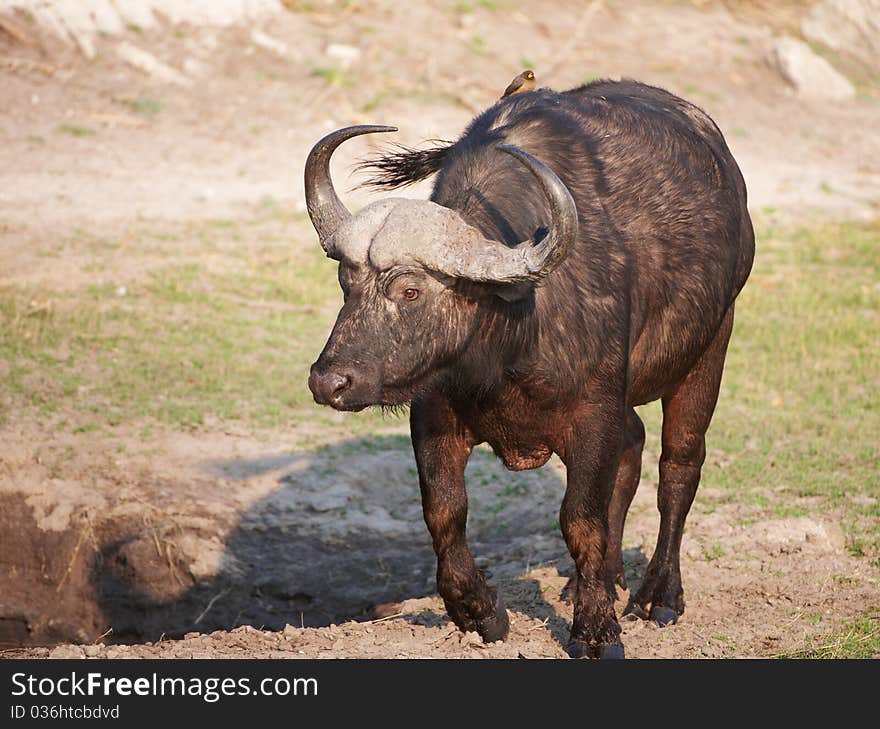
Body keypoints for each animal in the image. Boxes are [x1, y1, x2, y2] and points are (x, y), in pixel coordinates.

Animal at [304, 77, 756, 656]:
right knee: (633, 446)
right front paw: (479, 611)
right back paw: (602, 580)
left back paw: (659, 595)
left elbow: (580, 520)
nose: (329, 382)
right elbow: (444, 513)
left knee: (679, 465)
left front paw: (596, 629)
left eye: (409, 290)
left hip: (710, 347)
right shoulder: (433, 414)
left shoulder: (593, 411)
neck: (511, 339)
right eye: (346, 282)